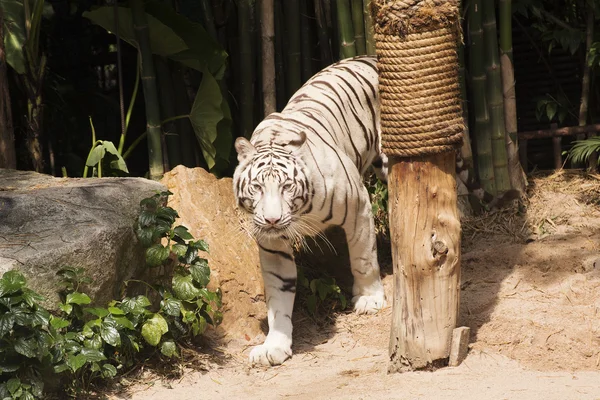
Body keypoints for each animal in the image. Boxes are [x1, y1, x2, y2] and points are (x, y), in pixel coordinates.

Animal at [232, 54, 386, 368]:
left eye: (287, 187)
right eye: (257, 188)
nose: (272, 219)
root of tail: (371, 56)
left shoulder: (359, 207)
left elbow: (364, 259)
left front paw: (369, 299)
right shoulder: (272, 243)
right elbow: (279, 293)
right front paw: (274, 346)